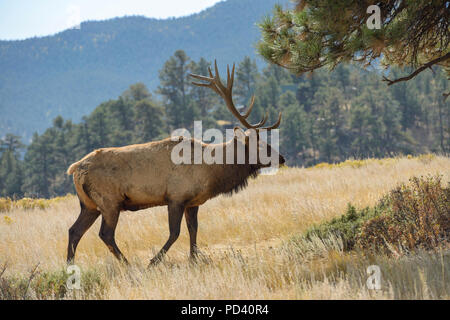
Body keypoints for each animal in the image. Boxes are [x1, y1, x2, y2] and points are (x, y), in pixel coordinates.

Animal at [67, 61, 284, 266]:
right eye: (259, 144)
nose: (281, 158)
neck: (211, 171)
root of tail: (75, 169)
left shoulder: (192, 202)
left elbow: (193, 229)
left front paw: (194, 258)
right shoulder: (176, 197)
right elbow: (175, 232)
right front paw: (154, 261)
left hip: (89, 205)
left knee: (74, 231)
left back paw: (69, 266)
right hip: (109, 201)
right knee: (105, 234)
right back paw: (128, 265)